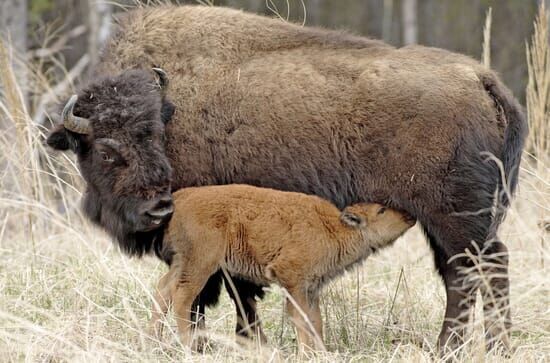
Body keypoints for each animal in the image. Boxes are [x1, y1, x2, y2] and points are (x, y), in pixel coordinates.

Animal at [151, 186, 414, 352]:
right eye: (381, 210)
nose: (410, 216)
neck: (333, 227)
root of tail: (181, 199)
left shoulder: (311, 288)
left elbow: (316, 321)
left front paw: (322, 352)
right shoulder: (292, 281)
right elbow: (301, 319)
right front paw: (306, 354)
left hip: (183, 262)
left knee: (163, 290)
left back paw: (155, 340)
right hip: (201, 264)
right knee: (182, 297)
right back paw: (188, 346)